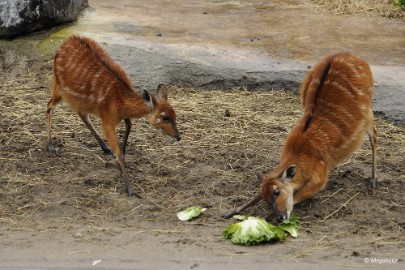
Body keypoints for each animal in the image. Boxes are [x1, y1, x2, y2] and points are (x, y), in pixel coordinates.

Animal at [46, 35, 181, 196]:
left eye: (175, 114)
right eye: (165, 117)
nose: (178, 137)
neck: (120, 99)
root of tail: (62, 45)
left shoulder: (121, 116)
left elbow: (129, 125)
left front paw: (121, 159)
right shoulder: (107, 120)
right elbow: (118, 151)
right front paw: (130, 189)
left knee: (81, 113)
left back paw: (105, 148)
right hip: (59, 87)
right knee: (49, 106)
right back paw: (50, 147)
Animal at [221, 52, 376, 221]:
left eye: (276, 191)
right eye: (267, 199)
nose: (281, 217)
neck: (304, 153)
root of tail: (355, 57)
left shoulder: (320, 177)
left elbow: (296, 197)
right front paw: (230, 212)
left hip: (368, 111)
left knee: (374, 136)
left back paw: (373, 181)